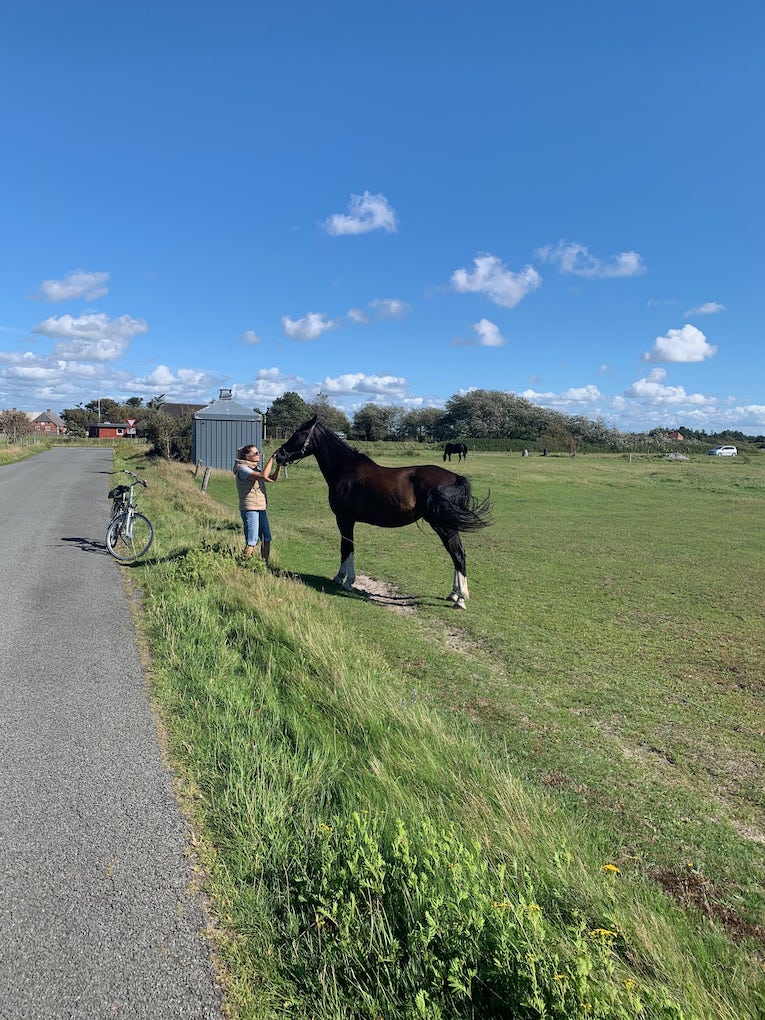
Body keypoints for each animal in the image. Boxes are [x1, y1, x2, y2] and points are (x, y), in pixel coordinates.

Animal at [275, 416, 491, 607]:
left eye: (299, 433)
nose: (279, 455)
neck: (345, 469)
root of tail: (455, 477)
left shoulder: (345, 519)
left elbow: (347, 547)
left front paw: (346, 581)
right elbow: (345, 548)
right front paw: (340, 577)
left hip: (444, 526)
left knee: (458, 554)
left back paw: (460, 599)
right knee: (455, 555)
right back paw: (453, 594)